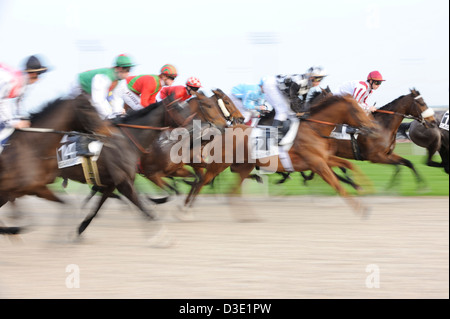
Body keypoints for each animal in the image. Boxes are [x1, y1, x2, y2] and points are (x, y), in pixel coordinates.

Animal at [0, 95, 111, 235]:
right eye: (86, 107)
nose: (106, 131)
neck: (33, 148)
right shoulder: (28, 189)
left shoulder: (34, 188)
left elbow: (68, 205)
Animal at [183, 95, 380, 215]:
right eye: (357, 110)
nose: (374, 128)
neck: (314, 130)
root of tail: (223, 131)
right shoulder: (318, 164)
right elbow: (337, 185)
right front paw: (361, 208)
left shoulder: (324, 159)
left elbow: (349, 165)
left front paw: (367, 186)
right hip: (220, 164)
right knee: (202, 181)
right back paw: (186, 209)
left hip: (244, 166)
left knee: (230, 191)